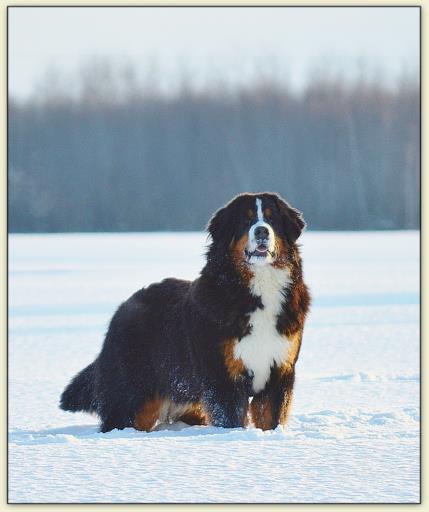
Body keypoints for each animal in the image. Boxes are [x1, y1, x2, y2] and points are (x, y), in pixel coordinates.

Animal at [60, 192, 310, 432]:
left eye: (271, 219)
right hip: (131, 397)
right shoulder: (222, 377)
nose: (261, 231)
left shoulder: (279, 373)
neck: (258, 288)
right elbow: (230, 419)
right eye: (246, 220)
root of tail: (121, 309)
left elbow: (272, 420)